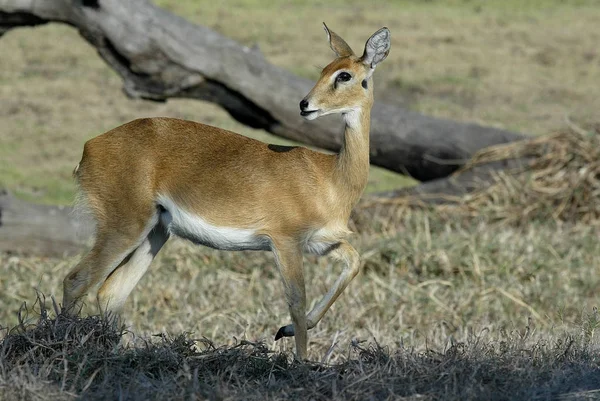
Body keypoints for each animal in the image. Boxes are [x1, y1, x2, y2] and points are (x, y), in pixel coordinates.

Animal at [61, 24, 390, 360]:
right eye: (325, 70)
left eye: (344, 74)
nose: (305, 105)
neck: (330, 177)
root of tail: (90, 147)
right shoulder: (285, 241)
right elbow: (297, 303)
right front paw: (300, 361)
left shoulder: (319, 242)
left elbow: (354, 263)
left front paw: (282, 332)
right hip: (125, 227)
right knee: (75, 281)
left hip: (156, 233)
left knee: (110, 291)